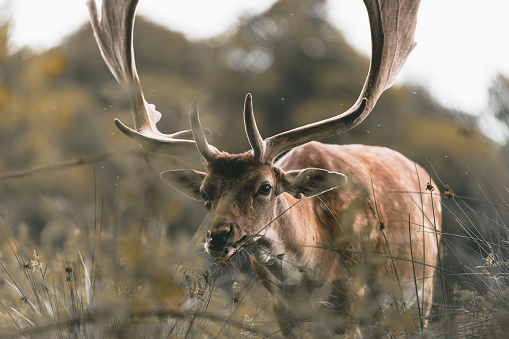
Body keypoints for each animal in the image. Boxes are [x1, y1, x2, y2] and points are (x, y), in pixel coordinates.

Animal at [87, 0, 440, 336]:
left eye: (265, 187)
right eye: (204, 193)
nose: (219, 236)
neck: (311, 270)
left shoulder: (352, 297)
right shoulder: (281, 308)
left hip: (421, 289)